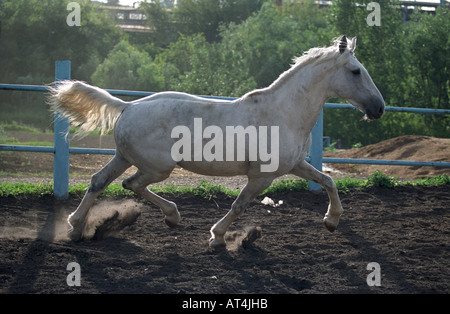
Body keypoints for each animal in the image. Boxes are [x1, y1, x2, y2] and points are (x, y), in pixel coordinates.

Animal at [51, 36, 384, 248]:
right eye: (356, 71)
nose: (379, 108)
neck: (285, 113)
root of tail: (128, 106)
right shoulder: (261, 176)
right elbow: (239, 205)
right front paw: (217, 237)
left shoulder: (295, 165)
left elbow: (328, 182)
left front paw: (331, 221)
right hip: (157, 168)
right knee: (130, 184)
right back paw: (172, 216)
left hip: (124, 157)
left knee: (99, 181)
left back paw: (75, 227)